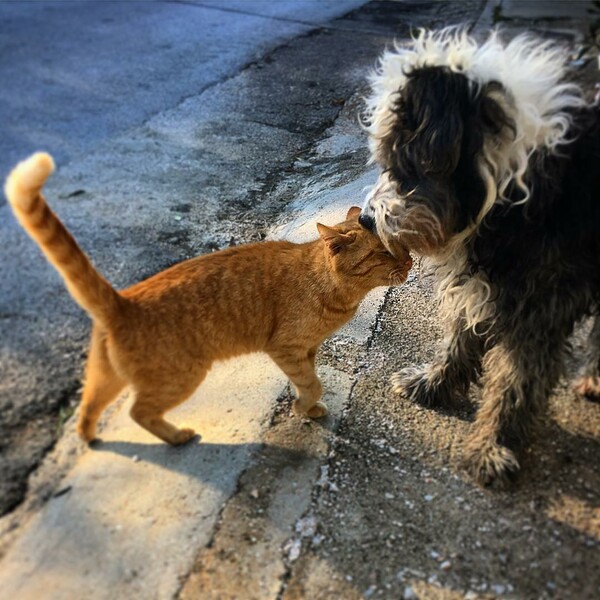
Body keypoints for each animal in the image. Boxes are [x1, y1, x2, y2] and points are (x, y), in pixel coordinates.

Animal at [4, 154, 410, 446]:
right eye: (384, 252)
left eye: (399, 244)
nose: (408, 261)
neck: (329, 286)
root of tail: (123, 300)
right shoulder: (287, 348)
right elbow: (312, 383)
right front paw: (302, 407)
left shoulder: (307, 350)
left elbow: (309, 382)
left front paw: (306, 409)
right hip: (182, 377)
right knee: (138, 412)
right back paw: (177, 437)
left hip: (107, 378)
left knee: (88, 408)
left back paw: (89, 437)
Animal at [358, 29, 596, 488]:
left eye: (398, 159)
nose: (365, 220)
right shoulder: (484, 284)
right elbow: (460, 338)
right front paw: (432, 384)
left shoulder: (537, 305)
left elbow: (515, 381)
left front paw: (492, 447)